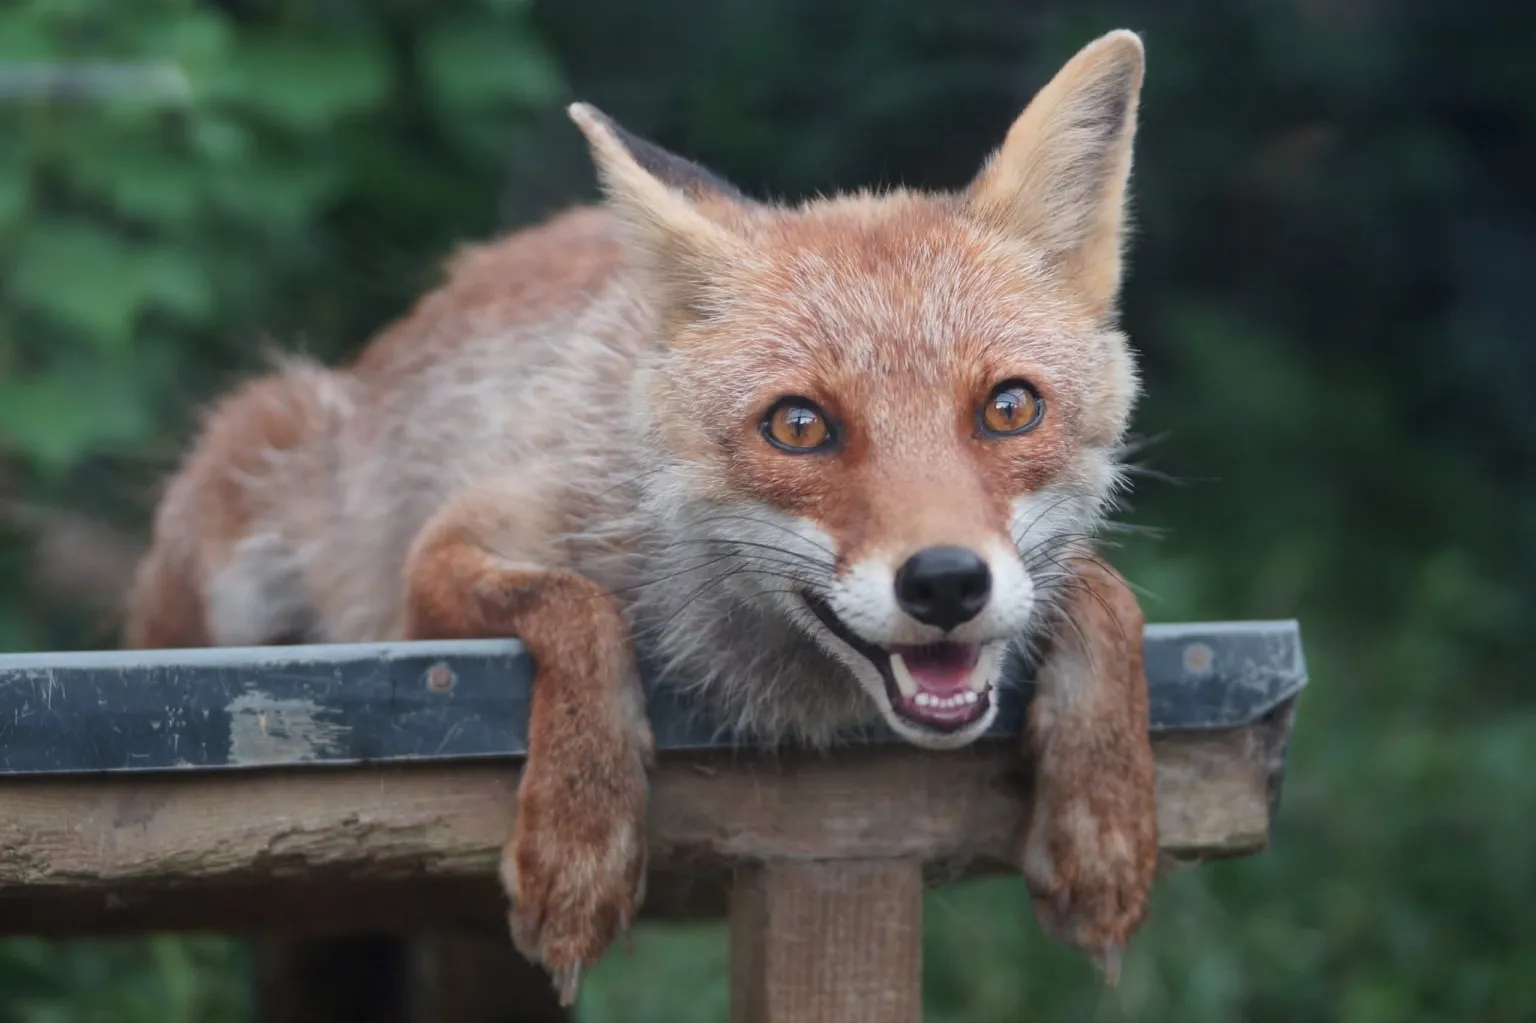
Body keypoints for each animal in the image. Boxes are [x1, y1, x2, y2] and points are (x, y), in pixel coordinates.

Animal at [124, 29, 1158, 1004]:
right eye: (798, 426)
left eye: (1010, 409)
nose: (946, 581)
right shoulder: (440, 565)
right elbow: (579, 610)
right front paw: (581, 844)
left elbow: (1112, 597)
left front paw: (1106, 821)